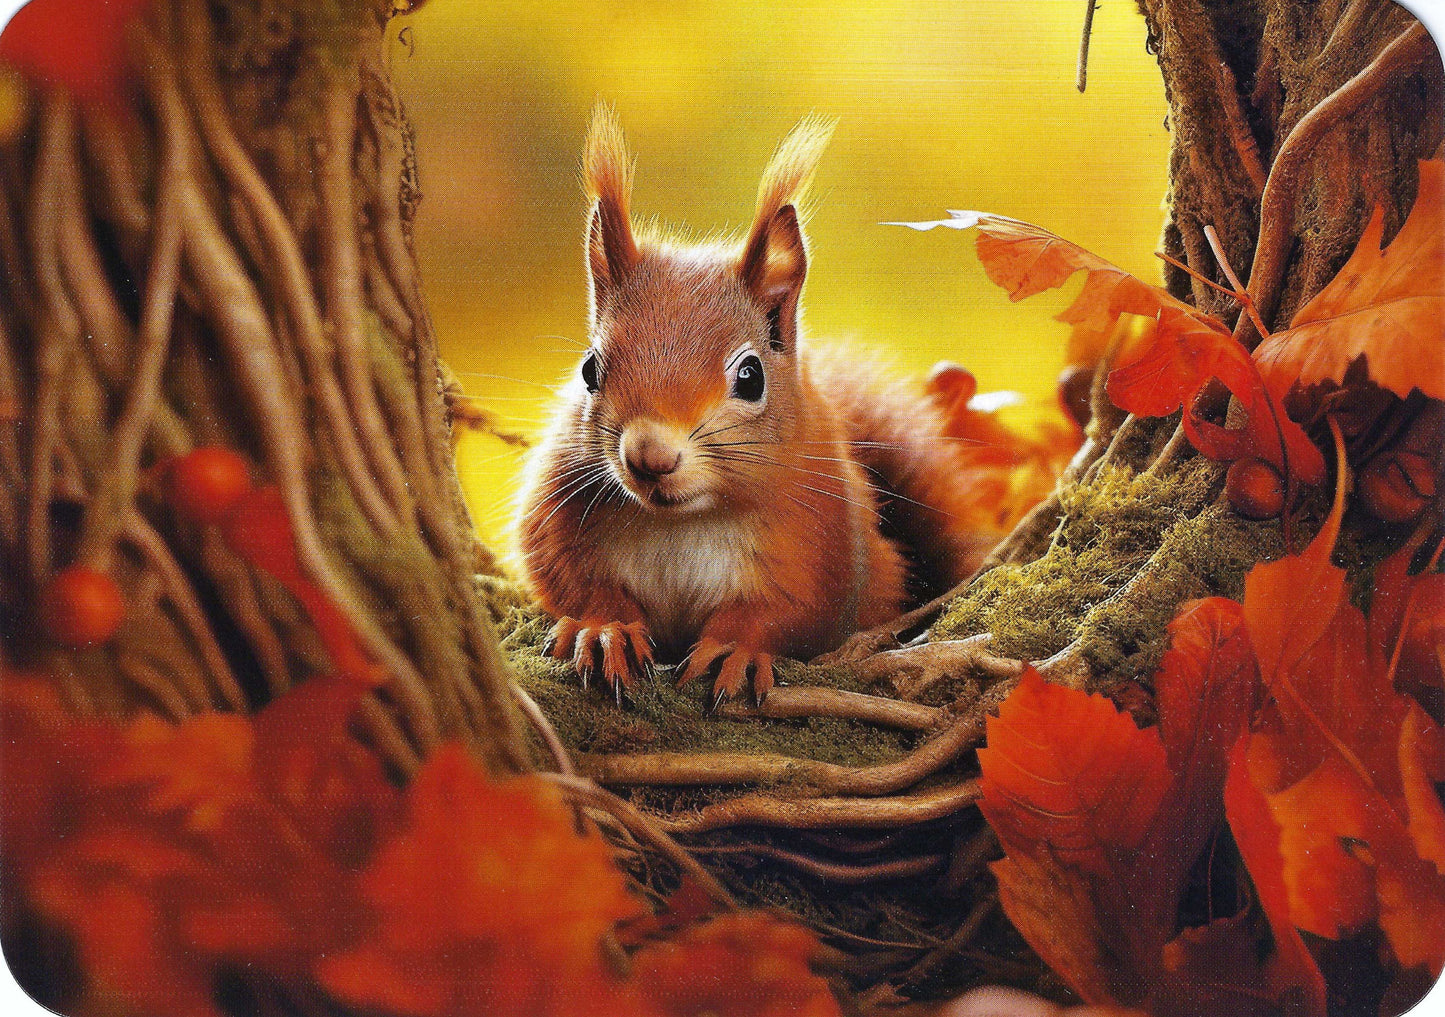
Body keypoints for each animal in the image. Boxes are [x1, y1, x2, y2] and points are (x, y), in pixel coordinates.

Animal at [517, 107, 999, 709]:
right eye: (589, 370)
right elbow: (568, 579)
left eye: (751, 376)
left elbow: (790, 614)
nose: (650, 457)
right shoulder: (559, 508)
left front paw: (734, 649)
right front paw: (607, 629)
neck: (683, 523)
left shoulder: (820, 539)